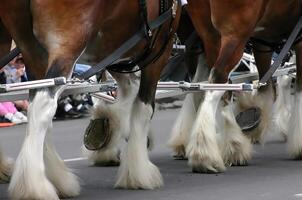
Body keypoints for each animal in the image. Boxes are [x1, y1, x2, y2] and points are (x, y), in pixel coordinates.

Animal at [1, 0, 180, 199]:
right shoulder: (158, 52)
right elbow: (143, 108)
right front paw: (139, 173)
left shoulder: (114, 51)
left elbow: (127, 91)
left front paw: (108, 130)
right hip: (68, 44)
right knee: (43, 106)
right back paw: (35, 187)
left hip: (32, 49)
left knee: (37, 105)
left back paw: (56, 178)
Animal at [170, 0, 302, 172]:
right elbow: (293, 83)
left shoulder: (264, 39)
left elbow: (267, 88)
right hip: (235, 34)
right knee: (216, 81)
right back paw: (210, 152)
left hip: (208, 35)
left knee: (205, 86)